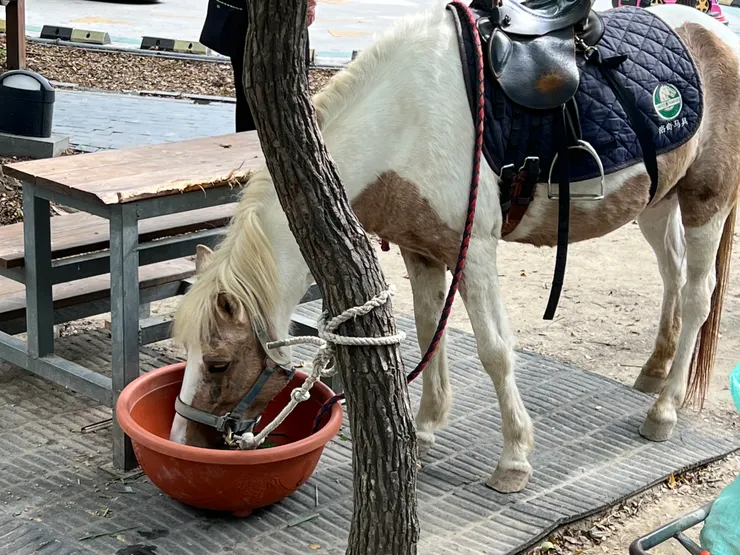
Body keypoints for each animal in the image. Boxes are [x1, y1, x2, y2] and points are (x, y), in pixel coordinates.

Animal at [168, 2, 740, 494]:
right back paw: (653, 371)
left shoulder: (477, 255)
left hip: (706, 202)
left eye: (217, 363)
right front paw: (422, 432)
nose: (185, 440)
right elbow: (428, 334)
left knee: (698, 295)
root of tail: (716, 34)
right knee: (673, 275)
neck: (404, 119)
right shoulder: (420, 250)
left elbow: (495, 351)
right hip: (657, 202)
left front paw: (514, 460)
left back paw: (663, 410)